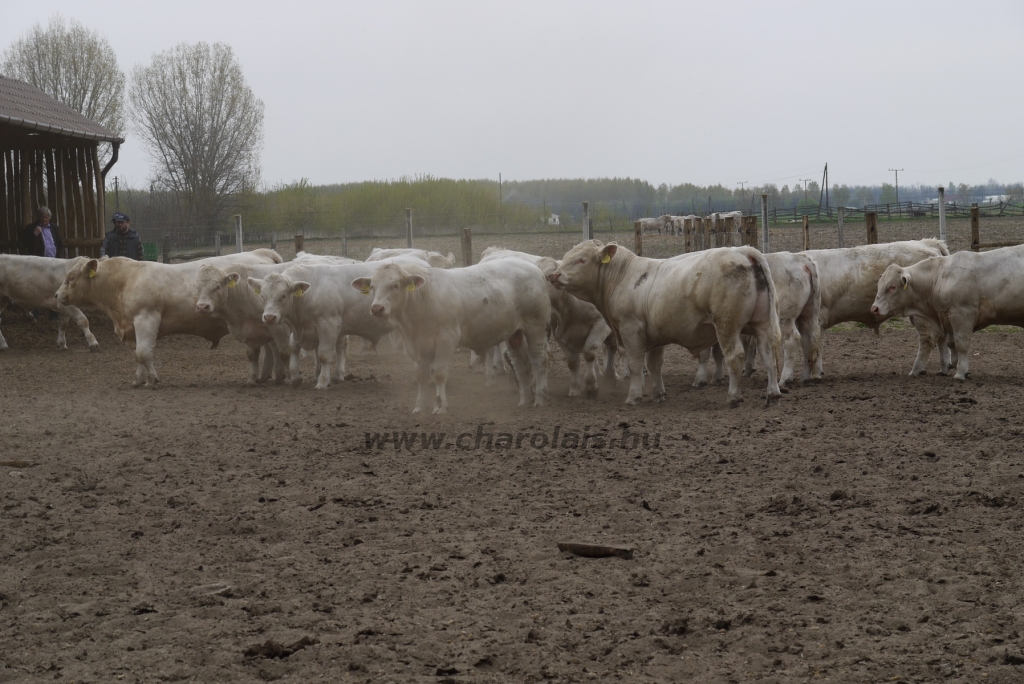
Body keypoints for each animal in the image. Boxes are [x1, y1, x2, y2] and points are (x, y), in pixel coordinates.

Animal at [58, 249, 286, 389]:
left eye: (70, 278)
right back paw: (266, 376)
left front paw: (152, 380)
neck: (124, 281)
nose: (57, 295)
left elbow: (143, 352)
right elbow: (138, 354)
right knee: (270, 346)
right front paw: (139, 379)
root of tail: (261, 252)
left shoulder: (146, 317)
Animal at [352, 259, 552, 413]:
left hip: (535, 326)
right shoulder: (418, 345)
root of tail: (535, 269)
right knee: (520, 363)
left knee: (538, 359)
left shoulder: (446, 339)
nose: (377, 308)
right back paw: (525, 399)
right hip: (514, 332)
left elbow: (438, 373)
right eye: (372, 286)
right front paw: (420, 406)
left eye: (395, 285)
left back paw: (540, 398)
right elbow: (421, 375)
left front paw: (440, 406)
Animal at [479, 246, 614, 397]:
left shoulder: (601, 325)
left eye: (547, 276)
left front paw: (591, 386)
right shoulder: (558, 333)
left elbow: (590, 351)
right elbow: (572, 360)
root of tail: (493, 251)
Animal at [802, 239, 946, 378]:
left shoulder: (817, 320)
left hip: (922, 316)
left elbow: (814, 348)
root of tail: (928, 243)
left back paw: (916, 370)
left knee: (928, 340)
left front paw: (815, 374)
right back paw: (944, 368)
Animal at [868, 242, 1024, 378]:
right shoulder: (947, 319)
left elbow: (961, 344)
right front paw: (955, 365)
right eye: (879, 285)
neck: (941, 278)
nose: (874, 308)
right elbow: (951, 344)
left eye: (892, 286)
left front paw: (960, 372)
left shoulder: (962, 315)